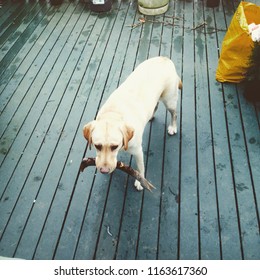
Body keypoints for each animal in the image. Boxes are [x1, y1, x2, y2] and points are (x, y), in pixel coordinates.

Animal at [83, 57, 181, 190]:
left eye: (114, 146)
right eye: (97, 146)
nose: (104, 170)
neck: (114, 113)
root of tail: (165, 58)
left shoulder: (138, 151)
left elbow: (140, 168)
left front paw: (140, 182)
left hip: (169, 100)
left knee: (174, 114)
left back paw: (173, 127)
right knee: (155, 105)